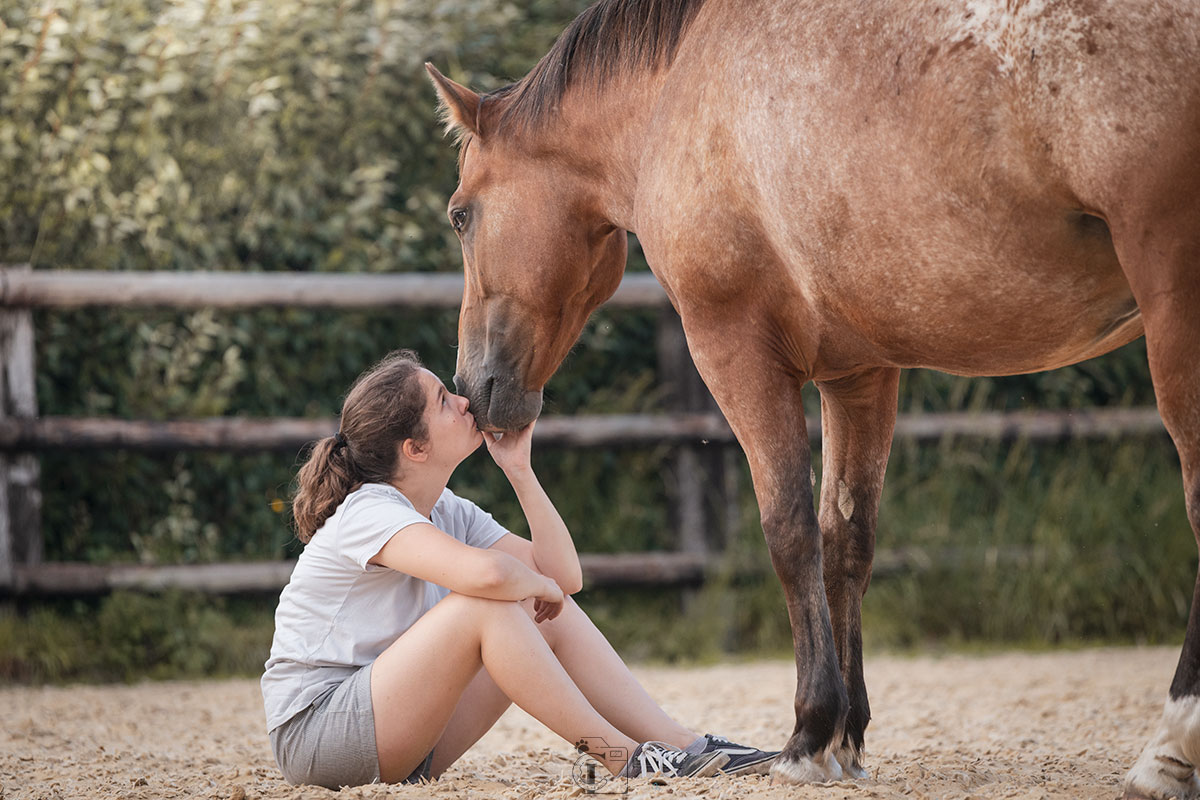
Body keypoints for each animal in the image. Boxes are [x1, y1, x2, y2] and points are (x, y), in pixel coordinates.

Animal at [427, 0, 1200, 796]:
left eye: (460, 215)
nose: (473, 389)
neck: (678, 86)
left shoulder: (737, 351)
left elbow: (790, 529)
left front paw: (807, 734)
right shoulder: (859, 375)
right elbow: (846, 540)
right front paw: (846, 738)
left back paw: (1169, 749)